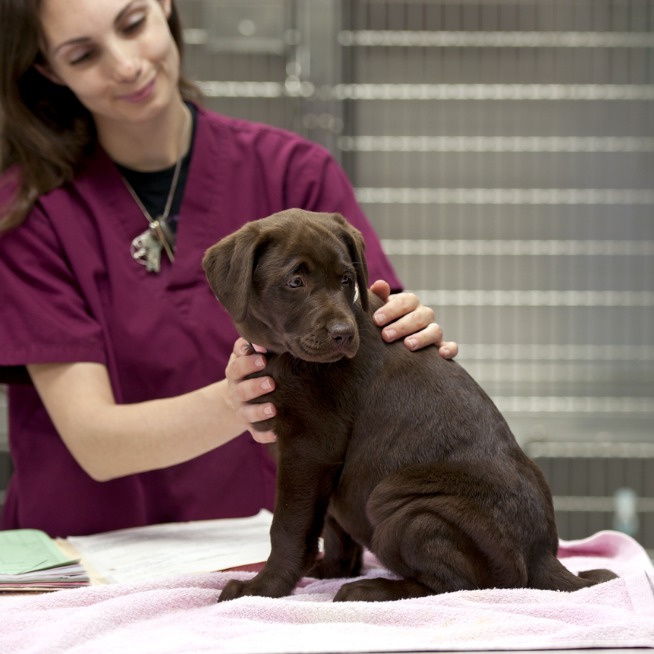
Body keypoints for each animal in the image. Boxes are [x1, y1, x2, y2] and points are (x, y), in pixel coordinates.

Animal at [202, 210, 616, 604]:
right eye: (294, 282)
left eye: (346, 280)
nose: (343, 335)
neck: (284, 356)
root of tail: (542, 555)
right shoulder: (321, 461)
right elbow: (332, 526)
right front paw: (333, 569)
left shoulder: (310, 448)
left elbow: (288, 527)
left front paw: (263, 587)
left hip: (405, 507)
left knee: (458, 586)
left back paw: (369, 590)